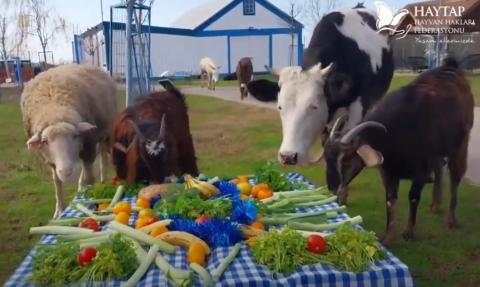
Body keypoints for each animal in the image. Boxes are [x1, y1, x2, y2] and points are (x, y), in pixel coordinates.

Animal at [20, 64, 118, 218]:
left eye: (75, 136)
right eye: (45, 141)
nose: (67, 172)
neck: (54, 110)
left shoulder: (89, 146)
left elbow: (90, 178)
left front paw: (91, 201)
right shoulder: (51, 160)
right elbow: (57, 182)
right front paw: (59, 210)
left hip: (105, 132)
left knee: (102, 157)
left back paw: (101, 180)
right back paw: (81, 186)